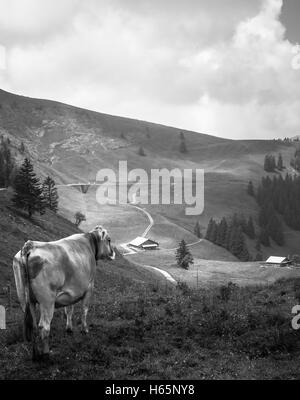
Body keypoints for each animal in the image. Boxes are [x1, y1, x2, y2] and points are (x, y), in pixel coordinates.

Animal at [12, 227, 115, 360]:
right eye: (109, 240)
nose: (113, 253)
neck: (90, 243)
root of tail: (29, 245)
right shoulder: (89, 287)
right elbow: (84, 310)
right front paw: (84, 330)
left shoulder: (70, 294)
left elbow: (69, 310)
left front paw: (69, 328)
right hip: (47, 302)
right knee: (44, 327)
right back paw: (46, 353)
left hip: (25, 300)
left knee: (32, 325)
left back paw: (36, 354)